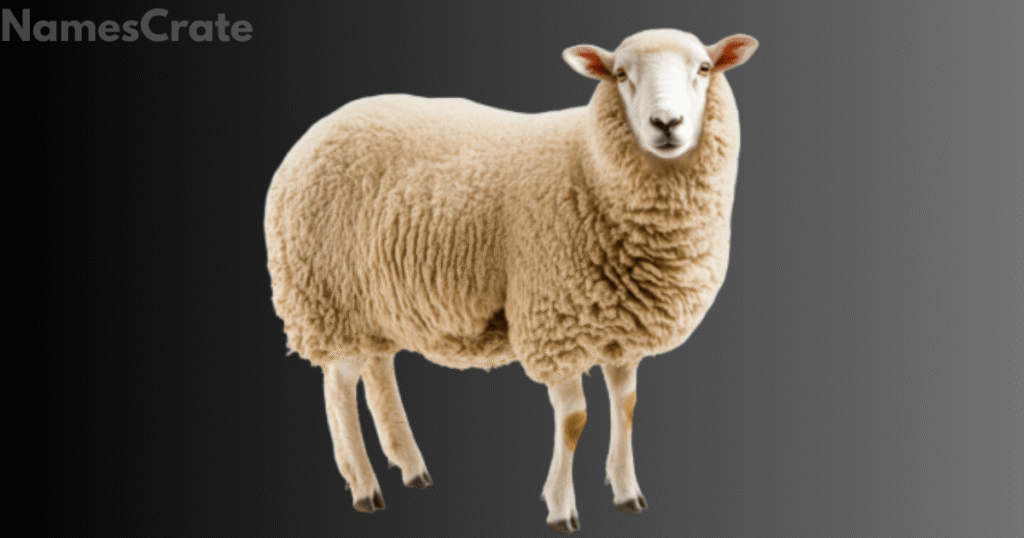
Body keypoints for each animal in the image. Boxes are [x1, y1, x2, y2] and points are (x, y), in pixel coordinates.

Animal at [264, 28, 757, 532]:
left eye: (703, 69)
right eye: (620, 74)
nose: (667, 123)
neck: (588, 165)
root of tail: (317, 131)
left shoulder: (621, 330)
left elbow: (627, 407)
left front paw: (627, 493)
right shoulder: (556, 321)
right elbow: (574, 420)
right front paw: (560, 508)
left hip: (377, 301)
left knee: (378, 366)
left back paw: (411, 465)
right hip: (327, 296)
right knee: (340, 384)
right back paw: (364, 486)